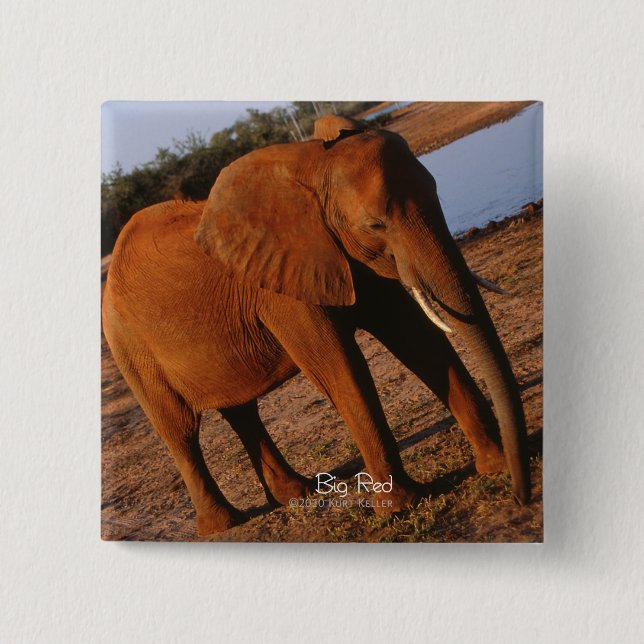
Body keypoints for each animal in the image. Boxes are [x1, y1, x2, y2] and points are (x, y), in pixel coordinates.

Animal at [102, 119, 530, 535]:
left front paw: (493, 465)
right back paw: (223, 525)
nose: (520, 496)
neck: (314, 166)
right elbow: (339, 368)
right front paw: (401, 507)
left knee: (242, 411)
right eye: (375, 223)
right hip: (129, 347)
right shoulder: (280, 285)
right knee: (180, 430)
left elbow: (415, 337)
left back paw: (297, 493)